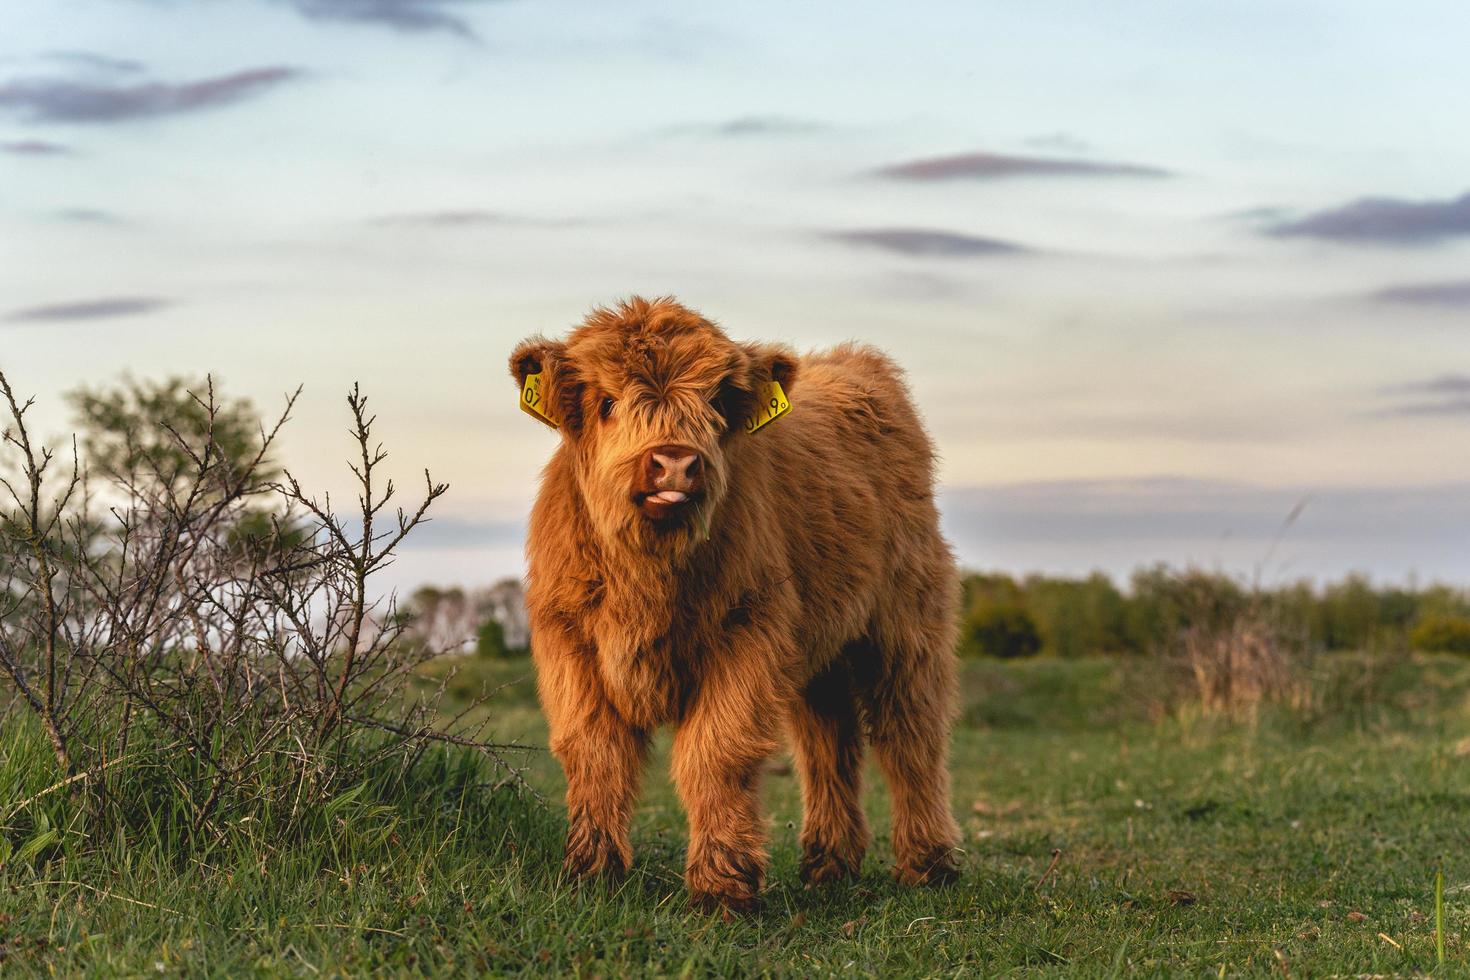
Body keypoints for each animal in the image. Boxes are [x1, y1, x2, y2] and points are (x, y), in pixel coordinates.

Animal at [511, 296, 958, 910]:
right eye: (607, 403)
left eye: (717, 402)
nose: (674, 462)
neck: (649, 576)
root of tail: (854, 362)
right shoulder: (570, 639)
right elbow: (594, 752)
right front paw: (590, 872)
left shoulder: (747, 633)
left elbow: (717, 753)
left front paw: (722, 886)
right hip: (821, 648)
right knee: (828, 741)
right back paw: (830, 863)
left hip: (905, 624)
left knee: (910, 734)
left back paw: (928, 864)